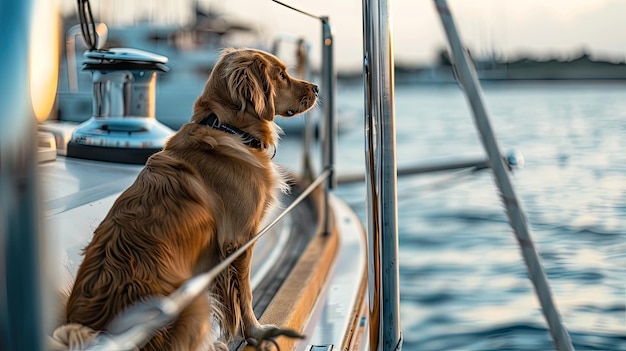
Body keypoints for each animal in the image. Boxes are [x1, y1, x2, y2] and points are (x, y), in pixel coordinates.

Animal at [50, 47, 316, 351]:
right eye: (281, 74)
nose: (317, 88)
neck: (227, 128)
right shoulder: (239, 240)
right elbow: (244, 296)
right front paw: (256, 332)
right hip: (192, 300)